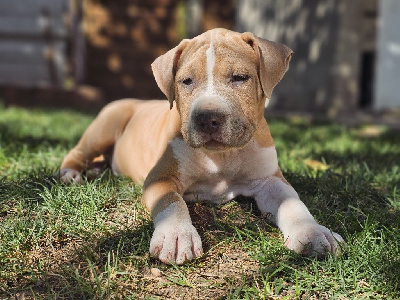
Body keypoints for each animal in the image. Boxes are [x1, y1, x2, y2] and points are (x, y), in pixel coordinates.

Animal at [57, 27, 344, 262]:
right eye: (186, 81)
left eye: (240, 77)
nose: (207, 118)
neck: (223, 156)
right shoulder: (161, 177)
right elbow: (171, 202)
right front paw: (176, 236)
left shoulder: (269, 180)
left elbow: (293, 203)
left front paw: (314, 232)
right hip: (107, 123)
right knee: (78, 151)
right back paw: (71, 174)